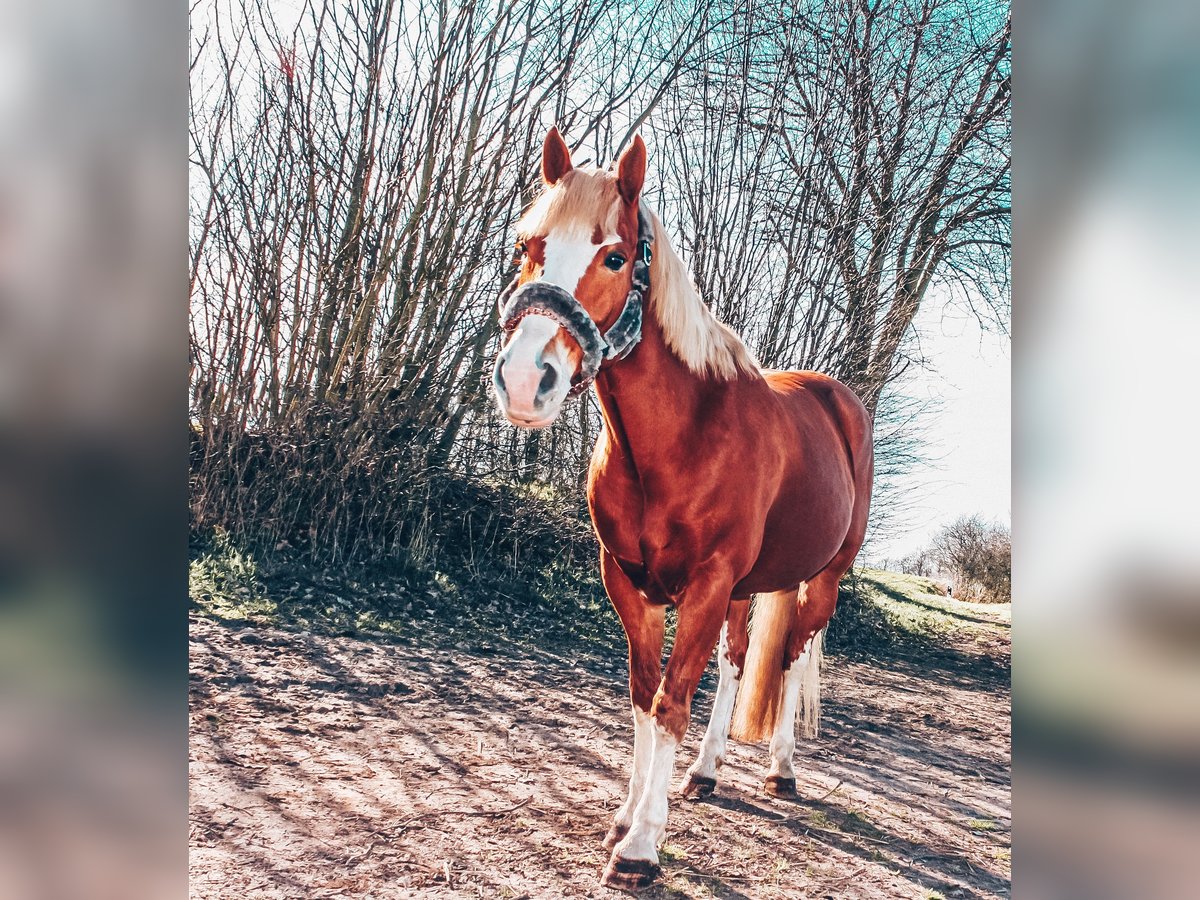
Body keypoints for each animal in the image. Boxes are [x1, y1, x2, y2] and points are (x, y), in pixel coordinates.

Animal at [487, 128, 873, 897]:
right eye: (527, 244)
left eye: (614, 255)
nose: (521, 380)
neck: (683, 436)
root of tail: (838, 400)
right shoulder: (632, 582)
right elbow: (645, 697)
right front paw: (626, 818)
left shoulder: (706, 584)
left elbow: (671, 702)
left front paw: (640, 848)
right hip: (752, 587)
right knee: (737, 663)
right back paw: (704, 773)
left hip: (820, 579)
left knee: (792, 658)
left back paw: (782, 770)